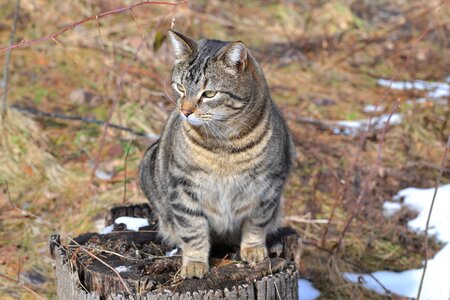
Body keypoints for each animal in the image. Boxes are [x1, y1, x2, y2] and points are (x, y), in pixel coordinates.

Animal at [140, 30, 296, 278]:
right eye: (180, 87)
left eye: (209, 94)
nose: (185, 111)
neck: (224, 144)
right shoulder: (183, 187)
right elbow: (193, 230)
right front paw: (194, 263)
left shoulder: (268, 187)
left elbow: (256, 223)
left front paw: (253, 250)